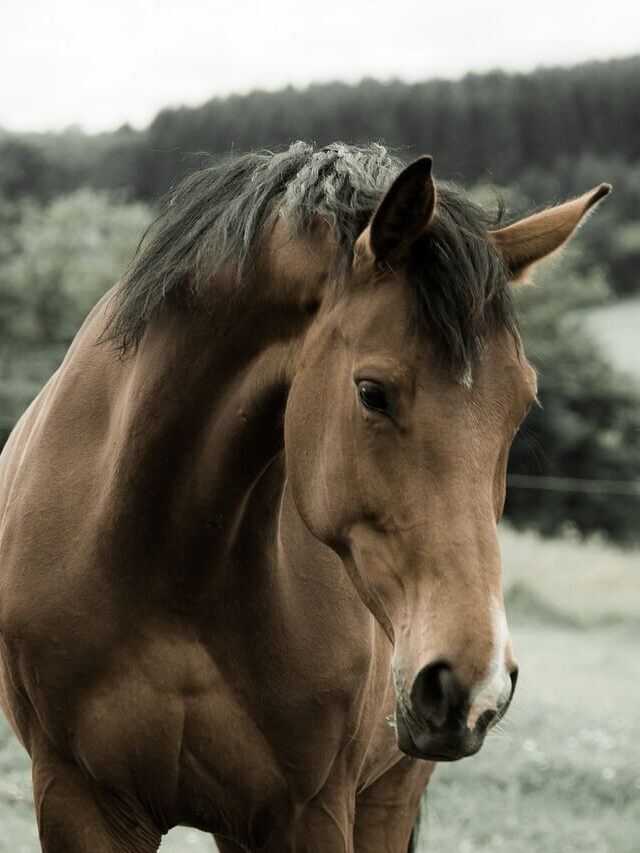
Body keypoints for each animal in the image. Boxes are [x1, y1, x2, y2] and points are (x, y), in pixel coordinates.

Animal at [0, 142, 610, 852]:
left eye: (521, 406)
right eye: (372, 393)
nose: (475, 683)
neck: (171, 568)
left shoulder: (310, 813)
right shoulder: (79, 800)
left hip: (386, 797)